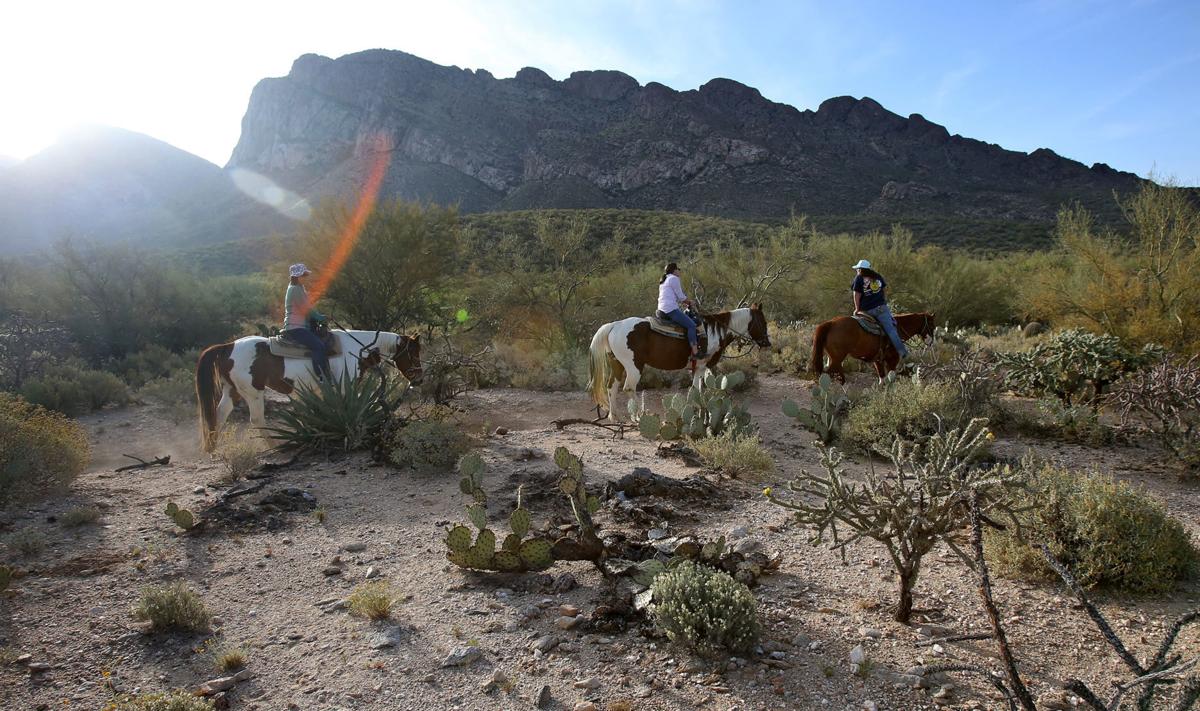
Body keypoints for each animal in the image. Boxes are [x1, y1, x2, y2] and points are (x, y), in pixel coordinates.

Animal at [194, 329, 424, 449]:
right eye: (413, 354)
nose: (419, 379)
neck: (358, 348)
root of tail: (227, 347)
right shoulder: (345, 386)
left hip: (231, 391)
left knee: (218, 415)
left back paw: (214, 449)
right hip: (253, 392)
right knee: (257, 420)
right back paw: (275, 446)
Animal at [588, 302, 772, 420]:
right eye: (763, 321)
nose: (767, 343)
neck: (714, 332)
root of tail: (615, 325)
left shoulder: (699, 368)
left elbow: (697, 390)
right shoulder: (702, 366)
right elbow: (696, 390)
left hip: (617, 365)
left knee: (612, 387)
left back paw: (615, 417)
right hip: (634, 366)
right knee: (628, 388)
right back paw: (638, 417)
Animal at [806, 312, 936, 384]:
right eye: (931, 325)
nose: (930, 342)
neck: (898, 327)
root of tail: (831, 323)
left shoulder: (878, 360)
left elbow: (882, 379)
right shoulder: (892, 359)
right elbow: (891, 378)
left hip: (832, 358)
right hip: (837, 359)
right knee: (827, 374)